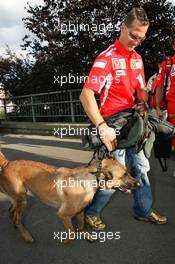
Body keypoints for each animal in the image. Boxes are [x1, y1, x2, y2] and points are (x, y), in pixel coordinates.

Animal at [0, 152, 139, 244]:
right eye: (124, 174)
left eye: (127, 171)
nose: (139, 184)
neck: (89, 179)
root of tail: (8, 163)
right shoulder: (62, 215)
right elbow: (72, 233)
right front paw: (65, 241)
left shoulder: (81, 211)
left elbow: (82, 226)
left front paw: (87, 236)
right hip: (22, 200)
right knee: (18, 218)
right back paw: (26, 235)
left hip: (17, 199)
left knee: (11, 211)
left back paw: (14, 225)